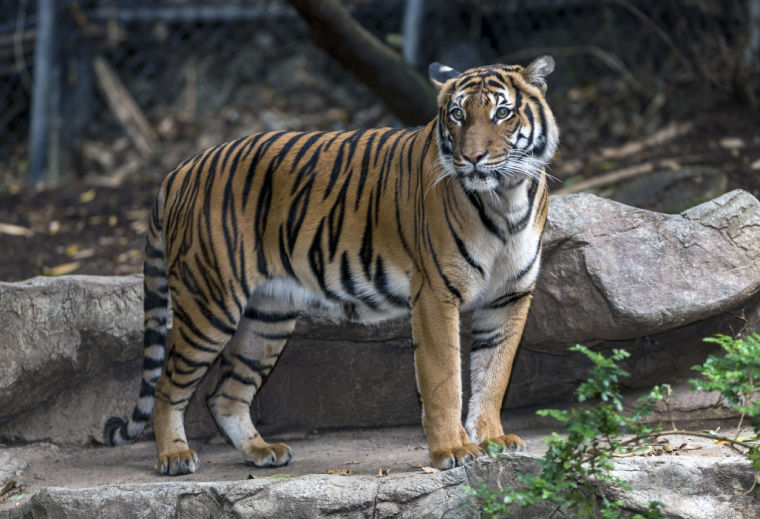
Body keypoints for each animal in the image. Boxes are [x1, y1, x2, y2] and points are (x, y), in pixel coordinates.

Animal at [104, 53, 560, 476]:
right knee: (168, 386)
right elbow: (444, 377)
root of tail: (179, 170)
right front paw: (453, 449)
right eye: (458, 114)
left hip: (268, 316)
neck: (506, 198)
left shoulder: (509, 296)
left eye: (502, 113)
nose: (473, 157)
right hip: (210, 304)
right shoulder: (435, 294)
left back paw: (262, 451)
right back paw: (174, 456)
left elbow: (494, 373)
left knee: (224, 393)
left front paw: (493, 439)